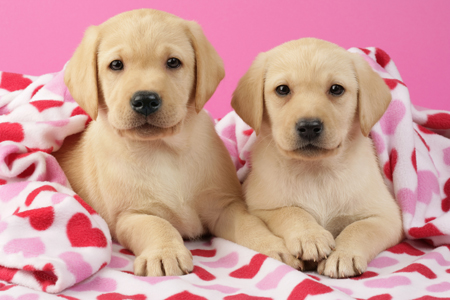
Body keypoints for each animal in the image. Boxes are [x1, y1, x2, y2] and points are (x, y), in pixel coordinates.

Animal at [53, 9, 298, 276]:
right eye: (116, 65)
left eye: (173, 62)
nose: (145, 100)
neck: (164, 150)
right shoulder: (130, 215)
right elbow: (156, 225)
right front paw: (164, 253)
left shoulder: (225, 205)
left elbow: (249, 224)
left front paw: (271, 245)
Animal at [230, 38, 402, 278]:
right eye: (282, 89)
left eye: (336, 89)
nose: (309, 126)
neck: (315, 171)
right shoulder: (260, 208)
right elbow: (291, 211)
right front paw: (310, 236)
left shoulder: (387, 217)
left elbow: (360, 228)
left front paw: (343, 255)